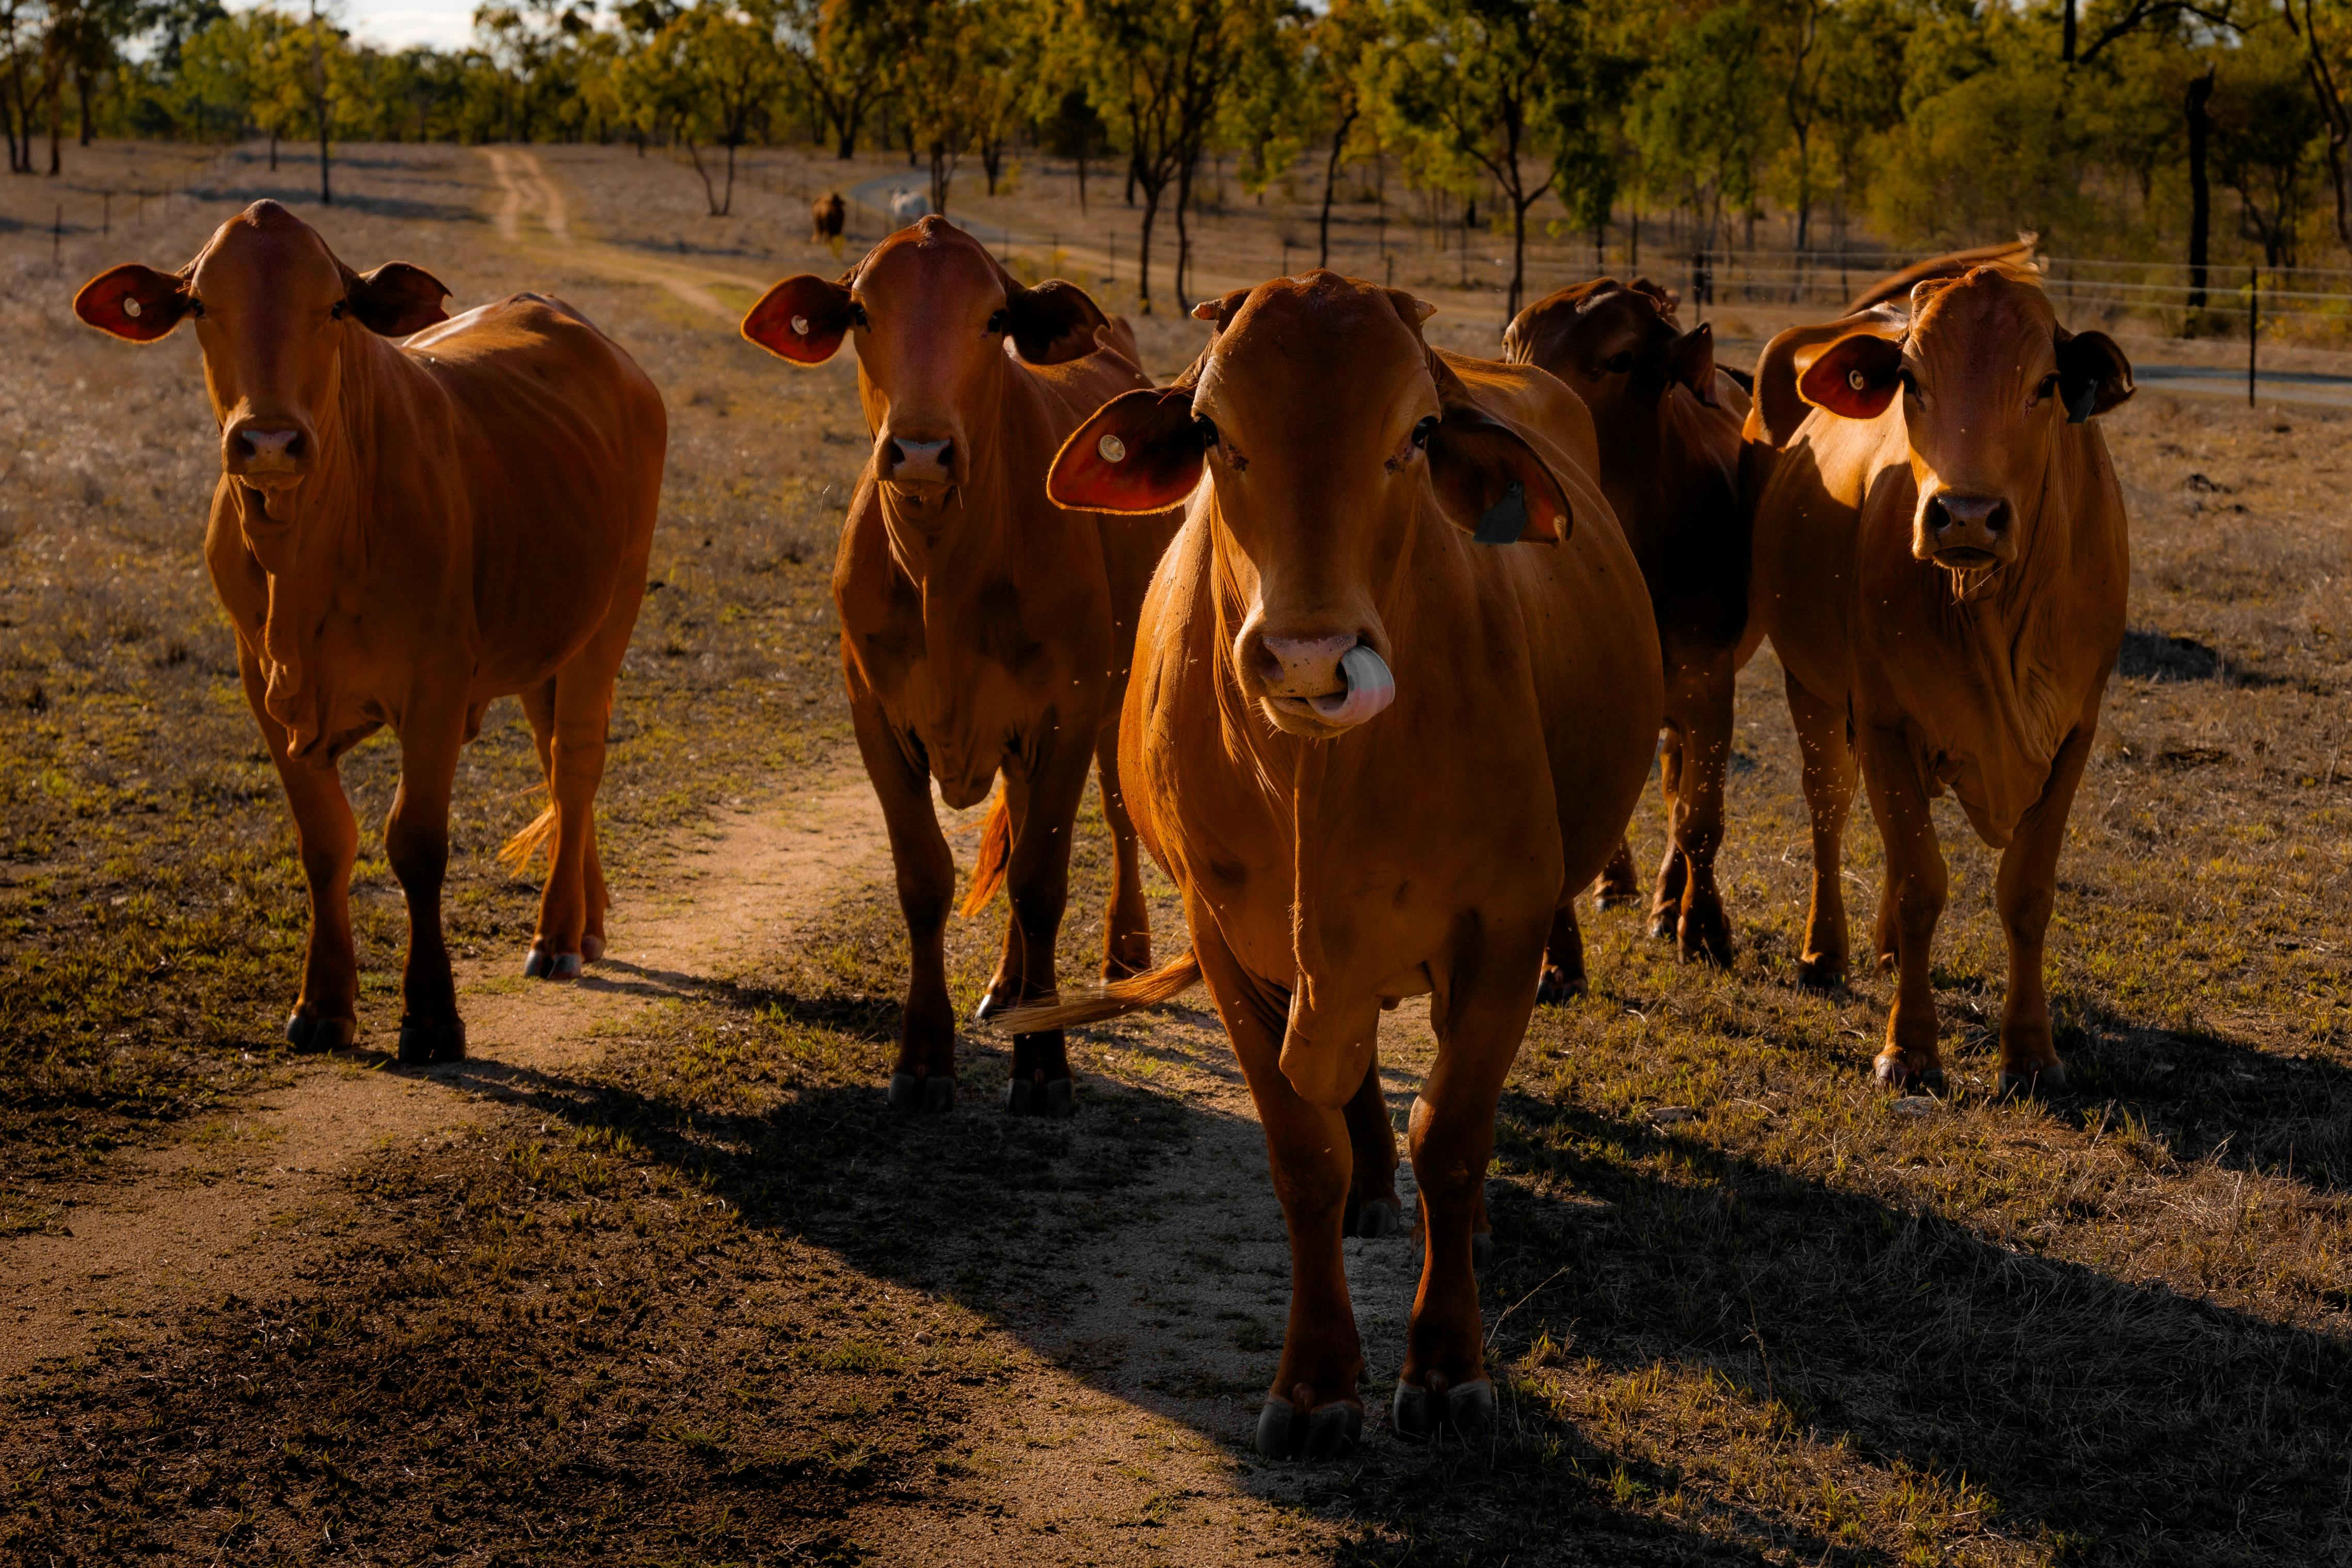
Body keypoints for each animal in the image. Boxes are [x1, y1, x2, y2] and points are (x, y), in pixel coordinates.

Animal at [70, 200, 665, 1063]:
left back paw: (557, 934)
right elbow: (326, 840)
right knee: (557, 764)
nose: (270, 441)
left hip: (609, 613)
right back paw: (586, 922)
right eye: (203, 306)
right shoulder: (262, 683)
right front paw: (323, 1003)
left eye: (334, 308)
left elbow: (415, 841)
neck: (306, 552)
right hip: (542, 638)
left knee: (578, 761)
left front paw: (433, 1015)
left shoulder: (436, 686)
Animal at [738, 215, 1179, 1117]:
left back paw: (1121, 953)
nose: (919, 451)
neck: (944, 568)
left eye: (994, 319)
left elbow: (1042, 882)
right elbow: (925, 879)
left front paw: (1043, 1066)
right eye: (861, 312)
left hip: (1114, 696)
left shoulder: (1066, 712)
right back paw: (1009, 988)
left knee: (1116, 818)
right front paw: (923, 1056)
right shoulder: (875, 714)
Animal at [1003, 272, 1661, 1455]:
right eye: (1213, 432)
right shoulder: (1227, 942)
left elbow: (1451, 1135)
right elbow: (1303, 1157)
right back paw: (1369, 1195)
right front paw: (1315, 1380)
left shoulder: (1505, 929)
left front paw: (1446, 1364)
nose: (1309, 656)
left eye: (1417, 434)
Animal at [1504, 278, 1756, 967]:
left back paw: (1670, 899)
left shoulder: (1710, 686)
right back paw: (1618, 882)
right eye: (1512, 347)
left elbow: (1700, 819)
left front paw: (1704, 925)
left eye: (1619, 358)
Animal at [1745, 259, 2132, 1098]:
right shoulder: (1883, 718)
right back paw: (1827, 951)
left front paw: (2030, 1051)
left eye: (2046, 384)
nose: (1966, 514)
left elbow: (2026, 891)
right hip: (1812, 691)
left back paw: (1890, 948)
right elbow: (1923, 882)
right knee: (1831, 813)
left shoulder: (2075, 732)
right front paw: (1912, 1046)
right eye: (1911, 381)